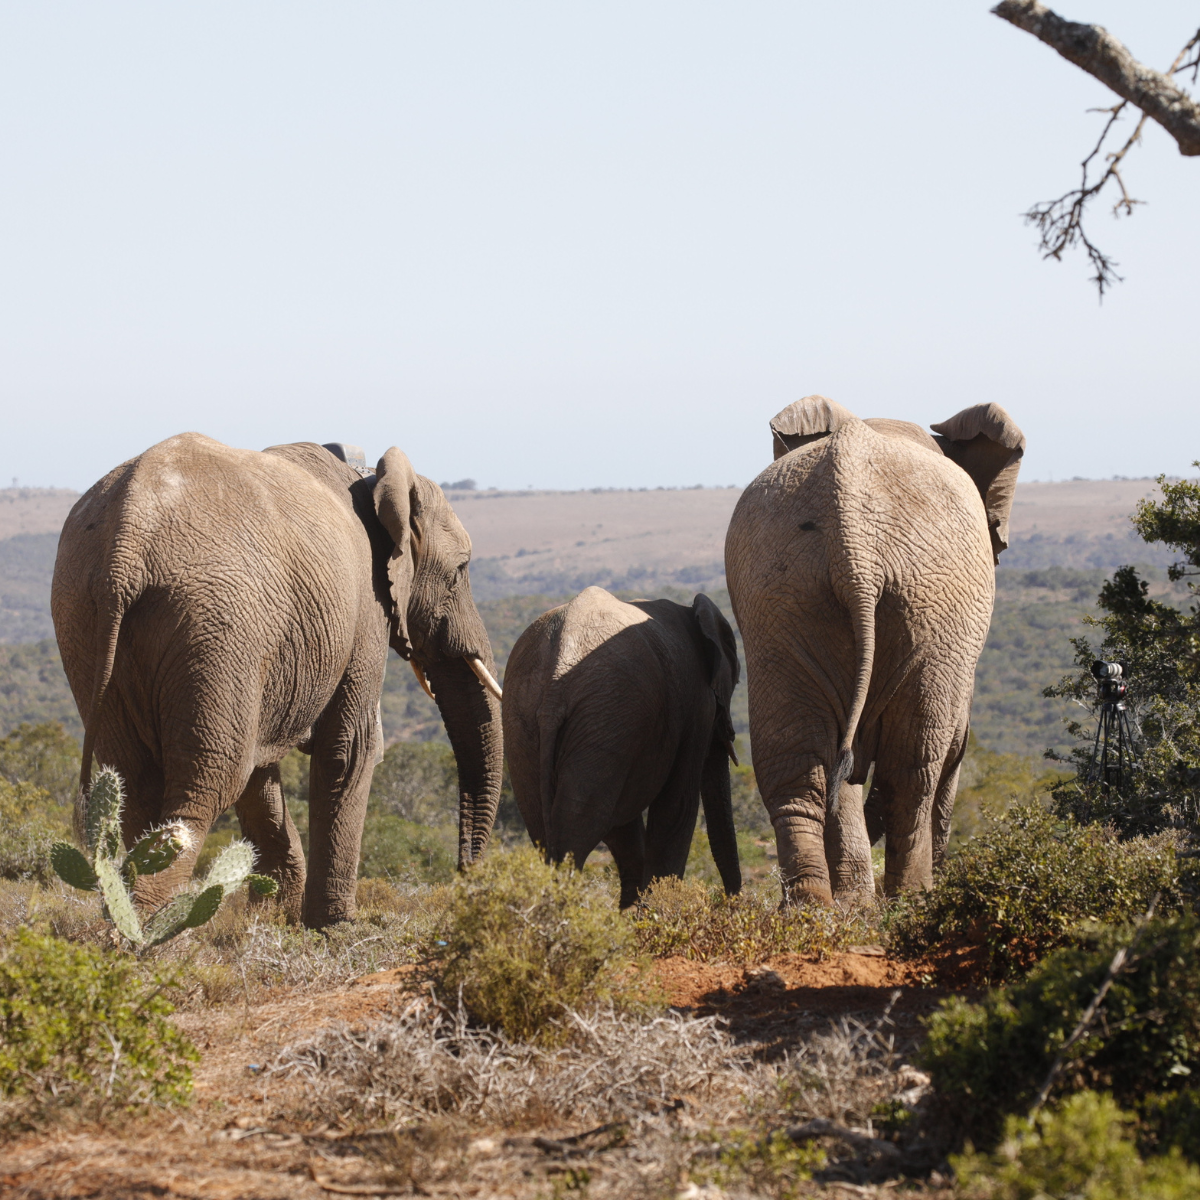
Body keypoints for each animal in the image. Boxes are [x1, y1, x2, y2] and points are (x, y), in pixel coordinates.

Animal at [52, 432, 503, 928]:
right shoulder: (366, 608)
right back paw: (144, 933)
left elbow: (262, 770)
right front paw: (334, 926)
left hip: (84, 620)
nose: (463, 870)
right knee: (208, 783)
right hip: (216, 624)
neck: (371, 479)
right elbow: (351, 748)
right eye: (461, 570)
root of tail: (126, 542)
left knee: (137, 780)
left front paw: (274, 917)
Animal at [502, 586, 742, 908]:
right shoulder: (697, 704)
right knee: (581, 827)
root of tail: (554, 677)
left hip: (526, 716)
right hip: (606, 710)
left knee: (546, 825)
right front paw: (657, 912)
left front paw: (634, 913)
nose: (731, 903)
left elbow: (625, 824)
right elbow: (678, 806)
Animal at [724, 396, 1025, 905]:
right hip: (935, 606)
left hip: (779, 593)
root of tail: (856, 552)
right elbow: (952, 749)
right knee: (912, 767)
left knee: (799, 763)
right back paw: (911, 900)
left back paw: (813, 908)